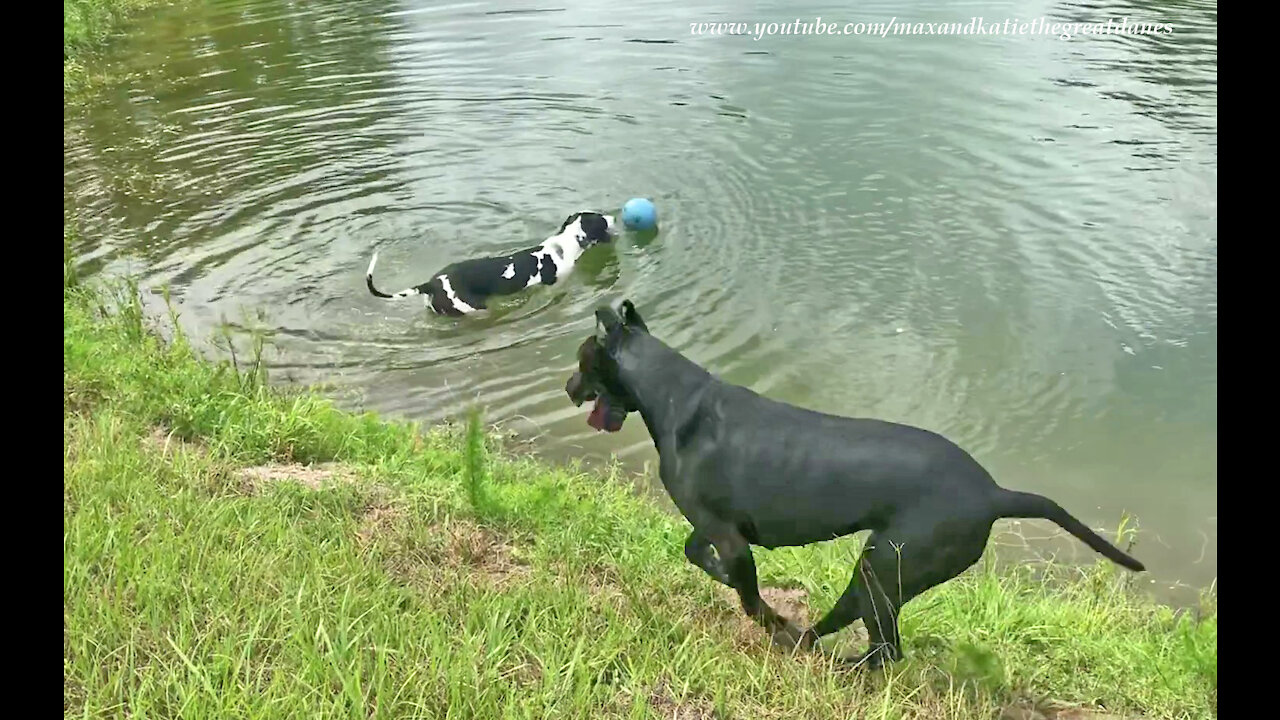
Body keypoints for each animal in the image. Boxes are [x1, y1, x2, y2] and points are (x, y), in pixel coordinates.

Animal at [565, 299, 1146, 666]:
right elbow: (700, 557)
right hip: (879, 574)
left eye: (581, 359)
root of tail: (995, 493)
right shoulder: (719, 530)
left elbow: (744, 591)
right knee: (861, 637)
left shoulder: (728, 535)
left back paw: (815, 653)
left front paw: (765, 616)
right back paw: (807, 644)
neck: (673, 396)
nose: (568, 386)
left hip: (882, 567)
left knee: (884, 651)